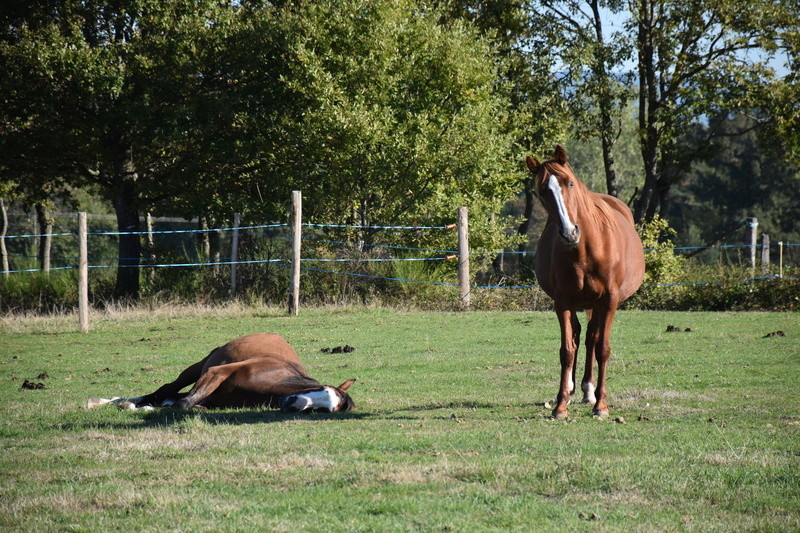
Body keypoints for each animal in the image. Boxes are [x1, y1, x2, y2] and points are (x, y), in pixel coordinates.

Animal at [86, 332, 354, 412]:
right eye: (320, 388)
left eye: (323, 410)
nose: (293, 404)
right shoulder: (216, 373)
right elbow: (182, 403)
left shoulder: (213, 401)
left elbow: (186, 405)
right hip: (197, 368)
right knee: (166, 390)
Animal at [528, 145, 648, 420]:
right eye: (541, 191)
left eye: (569, 183)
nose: (569, 232)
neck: (586, 249)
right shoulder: (562, 302)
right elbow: (567, 349)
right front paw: (561, 405)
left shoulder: (609, 301)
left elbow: (602, 348)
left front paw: (601, 405)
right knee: (579, 335)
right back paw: (573, 389)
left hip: (597, 303)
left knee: (592, 338)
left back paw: (589, 391)